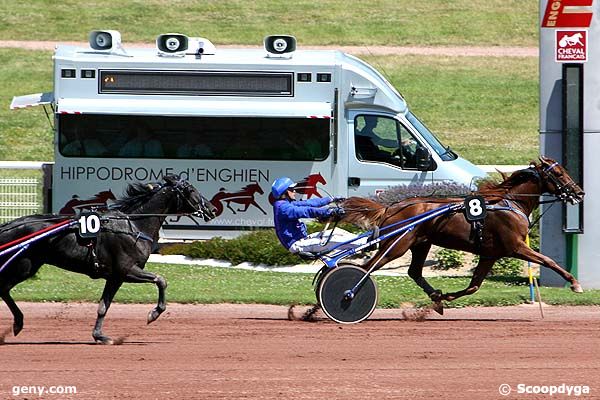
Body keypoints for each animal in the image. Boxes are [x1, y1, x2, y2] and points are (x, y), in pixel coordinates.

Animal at [0, 175, 216, 344]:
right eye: (190, 189)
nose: (212, 209)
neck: (134, 226)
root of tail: (9, 225)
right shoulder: (127, 270)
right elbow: (161, 280)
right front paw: (153, 314)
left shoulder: (115, 277)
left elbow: (104, 306)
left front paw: (99, 335)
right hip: (23, 266)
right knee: (4, 288)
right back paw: (18, 322)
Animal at [340, 157, 584, 312]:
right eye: (559, 173)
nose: (579, 192)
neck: (509, 202)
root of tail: (390, 207)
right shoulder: (516, 247)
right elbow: (549, 260)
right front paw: (575, 283)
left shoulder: (490, 254)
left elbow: (474, 285)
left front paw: (443, 297)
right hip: (396, 245)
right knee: (365, 268)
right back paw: (343, 296)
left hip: (420, 244)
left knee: (414, 272)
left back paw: (435, 297)